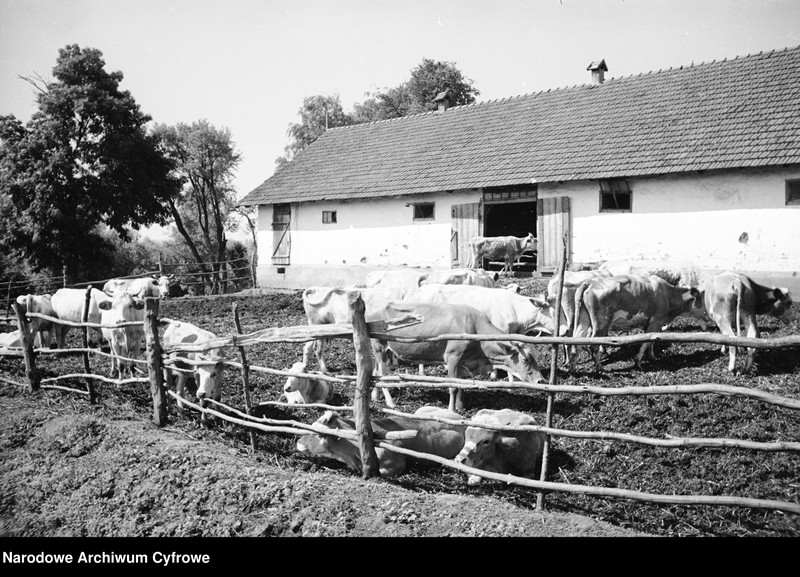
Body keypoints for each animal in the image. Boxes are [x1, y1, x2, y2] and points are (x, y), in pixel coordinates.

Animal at [368, 302, 544, 410]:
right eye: (526, 359)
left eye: (537, 356)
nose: (540, 380)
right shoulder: (452, 357)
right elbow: (453, 386)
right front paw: (451, 410)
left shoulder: (462, 362)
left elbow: (461, 384)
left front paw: (460, 406)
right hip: (379, 347)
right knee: (382, 374)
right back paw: (390, 402)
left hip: (384, 351)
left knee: (376, 372)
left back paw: (375, 396)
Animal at [568, 272, 700, 372]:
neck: (667, 294)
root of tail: (590, 282)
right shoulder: (655, 321)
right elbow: (646, 343)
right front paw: (638, 362)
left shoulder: (651, 324)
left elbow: (651, 342)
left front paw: (652, 357)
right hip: (601, 323)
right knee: (593, 346)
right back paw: (600, 368)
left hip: (583, 321)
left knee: (576, 343)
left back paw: (573, 370)